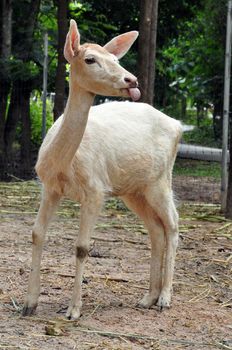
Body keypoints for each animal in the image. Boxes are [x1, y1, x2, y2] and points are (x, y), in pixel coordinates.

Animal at [21, 18, 182, 320]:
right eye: (90, 59)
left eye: (115, 59)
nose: (132, 80)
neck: (64, 165)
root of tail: (179, 125)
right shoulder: (49, 187)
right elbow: (37, 233)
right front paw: (28, 304)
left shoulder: (95, 190)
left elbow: (82, 247)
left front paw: (73, 310)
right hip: (133, 189)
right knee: (155, 228)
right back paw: (148, 298)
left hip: (161, 180)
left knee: (173, 223)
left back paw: (165, 299)